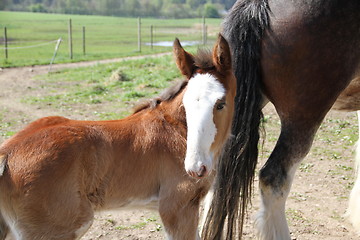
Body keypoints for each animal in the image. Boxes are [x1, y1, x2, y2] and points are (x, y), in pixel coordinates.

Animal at [0, 35, 236, 240]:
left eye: (220, 104)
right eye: (185, 105)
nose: (195, 168)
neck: (177, 130)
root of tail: (7, 154)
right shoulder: (177, 208)